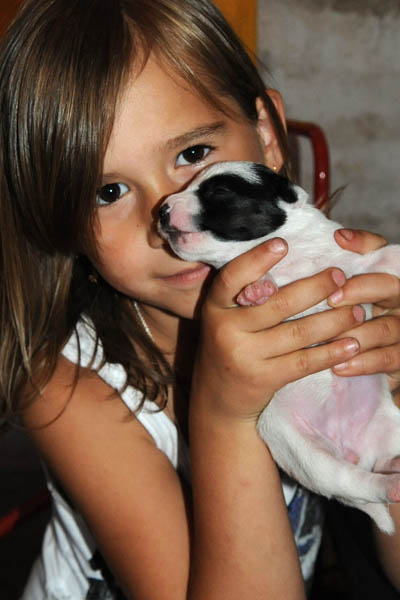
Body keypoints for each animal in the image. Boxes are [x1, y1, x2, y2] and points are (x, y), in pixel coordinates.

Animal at [157, 161, 400, 536]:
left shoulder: (353, 264)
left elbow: (383, 257)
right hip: (306, 456)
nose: (162, 210)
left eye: (219, 191)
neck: (292, 254)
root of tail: (359, 451)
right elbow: (255, 282)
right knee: (357, 481)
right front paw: (258, 288)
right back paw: (389, 484)